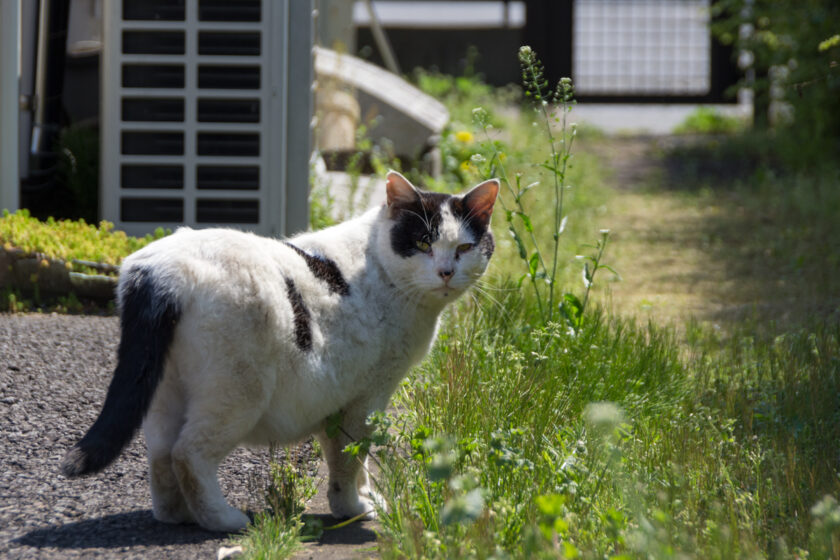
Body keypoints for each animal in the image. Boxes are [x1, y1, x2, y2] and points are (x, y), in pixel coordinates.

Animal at [65, 171, 502, 532]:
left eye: (464, 247)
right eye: (424, 242)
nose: (446, 272)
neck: (381, 265)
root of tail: (160, 269)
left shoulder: (340, 401)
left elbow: (350, 456)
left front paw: (367, 496)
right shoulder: (368, 397)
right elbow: (349, 458)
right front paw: (351, 508)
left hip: (164, 392)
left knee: (159, 456)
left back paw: (178, 515)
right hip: (236, 395)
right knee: (187, 455)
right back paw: (223, 520)